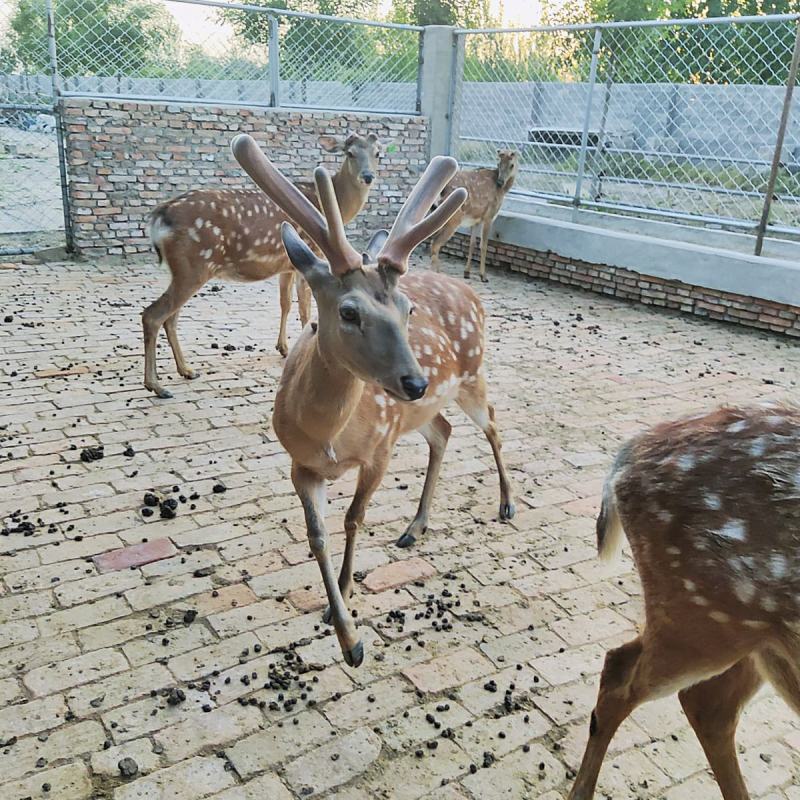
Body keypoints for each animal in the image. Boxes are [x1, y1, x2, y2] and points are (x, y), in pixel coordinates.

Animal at [142, 131, 385, 398]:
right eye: (349, 153)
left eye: (378, 153)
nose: (368, 176)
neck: (339, 207)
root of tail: (159, 217)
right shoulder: (313, 252)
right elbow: (304, 308)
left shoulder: (286, 266)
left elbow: (285, 303)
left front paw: (283, 347)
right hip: (193, 265)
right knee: (152, 315)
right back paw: (157, 385)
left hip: (181, 270)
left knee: (170, 317)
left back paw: (186, 370)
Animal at [430, 149, 519, 282]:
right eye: (498, 163)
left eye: (511, 164)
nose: (500, 182)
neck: (502, 191)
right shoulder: (489, 216)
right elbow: (484, 245)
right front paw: (483, 276)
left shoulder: (476, 220)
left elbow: (472, 244)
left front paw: (467, 273)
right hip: (453, 218)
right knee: (435, 244)